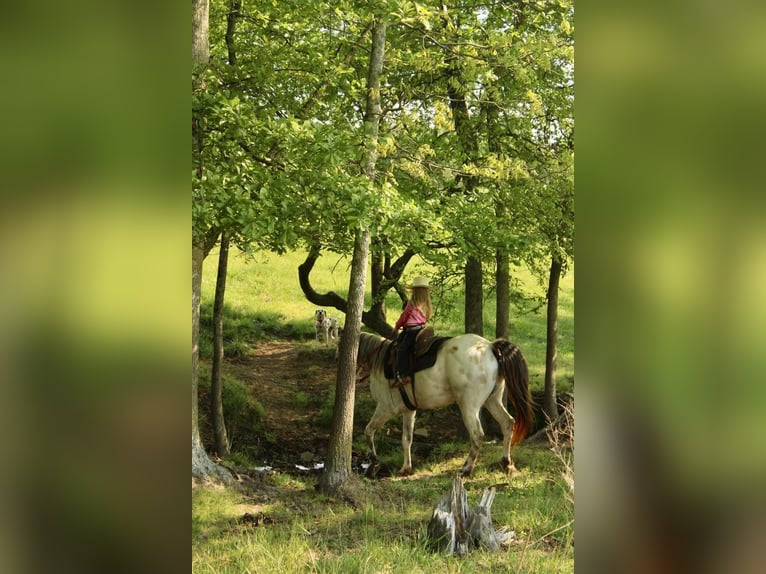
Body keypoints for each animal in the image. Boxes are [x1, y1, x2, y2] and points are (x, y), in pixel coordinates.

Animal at [358, 330, 536, 480]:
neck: (379, 361)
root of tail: (490, 347)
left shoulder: (385, 408)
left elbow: (368, 430)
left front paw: (373, 462)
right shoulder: (408, 411)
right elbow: (406, 439)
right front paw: (405, 469)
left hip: (468, 407)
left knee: (477, 435)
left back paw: (466, 470)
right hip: (492, 401)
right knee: (507, 423)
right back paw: (506, 463)